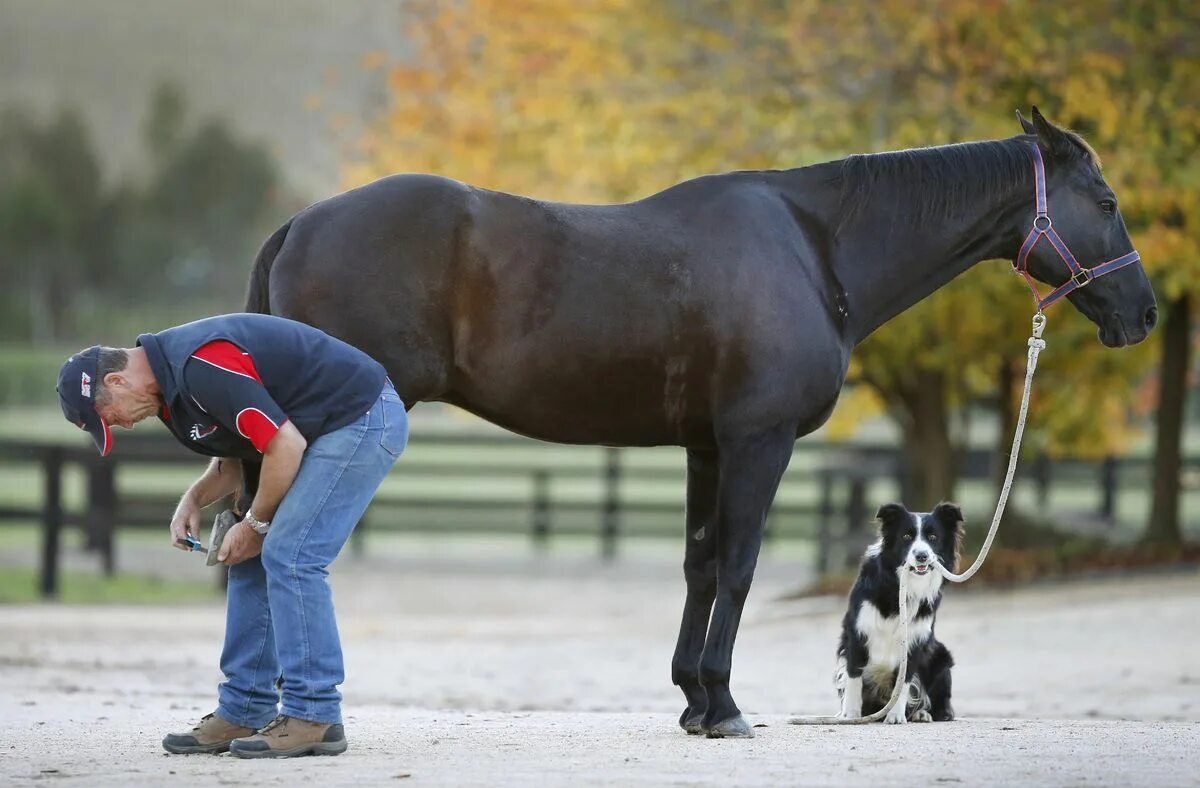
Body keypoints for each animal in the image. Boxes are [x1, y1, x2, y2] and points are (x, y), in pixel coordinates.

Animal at [835, 501, 964, 724]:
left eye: (933, 537)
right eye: (906, 536)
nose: (921, 556)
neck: (900, 587)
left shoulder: (914, 640)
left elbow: (904, 682)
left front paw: (895, 716)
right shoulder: (857, 632)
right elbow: (853, 677)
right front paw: (850, 714)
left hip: (941, 657)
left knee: (941, 707)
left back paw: (923, 713)